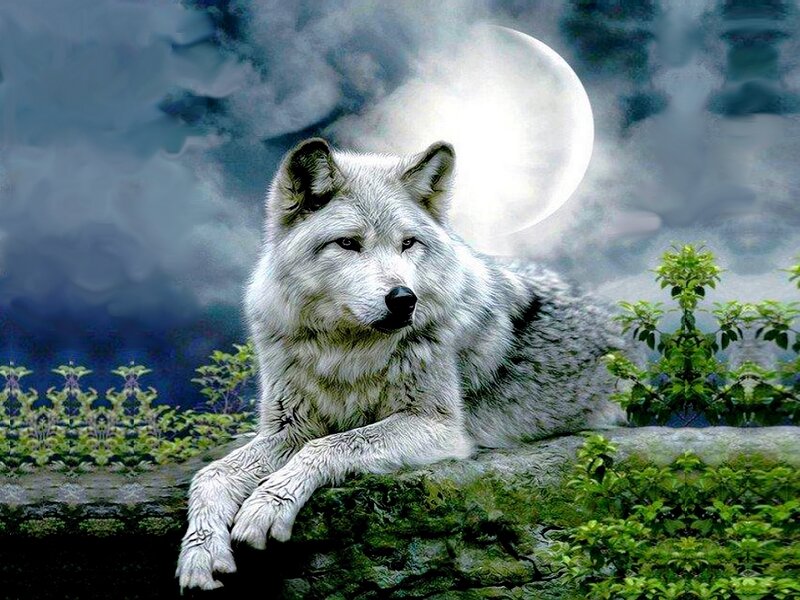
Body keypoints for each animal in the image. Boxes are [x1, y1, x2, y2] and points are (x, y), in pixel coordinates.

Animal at [176, 138, 625, 590]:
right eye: (348, 243)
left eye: (408, 243)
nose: (404, 299)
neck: (346, 352)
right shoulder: (287, 429)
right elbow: (210, 475)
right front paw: (200, 553)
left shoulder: (439, 427)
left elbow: (330, 445)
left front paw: (267, 505)